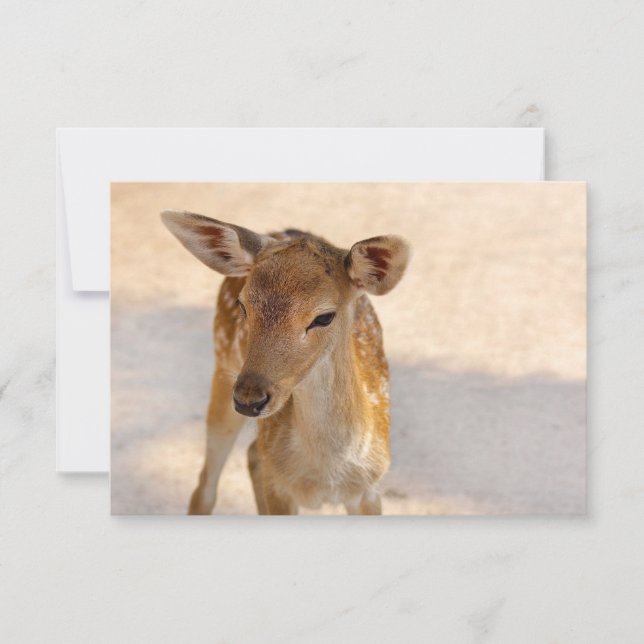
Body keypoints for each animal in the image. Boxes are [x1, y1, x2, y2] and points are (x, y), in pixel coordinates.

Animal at [161, 210, 410, 515]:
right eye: (243, 305)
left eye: (324, 317)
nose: (248, 399)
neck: (325, 476)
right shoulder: (279, 488)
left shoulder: (370, 489)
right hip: (222, 368)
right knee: (206, 487)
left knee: (252, 454)